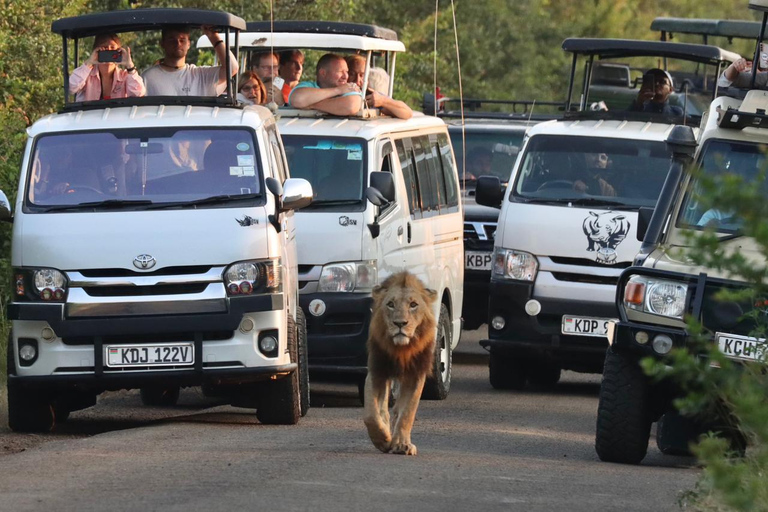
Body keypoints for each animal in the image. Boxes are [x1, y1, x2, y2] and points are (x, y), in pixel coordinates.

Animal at [362, 272, 436, 456]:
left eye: (413, 305)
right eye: (390, 304)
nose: (400, 323)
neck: (401, 349)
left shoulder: (415, 374)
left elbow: (407, 412)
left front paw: (402, 444)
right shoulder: (377, 370)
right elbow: (371, 415)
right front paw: (383, 439)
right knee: (382, 409)